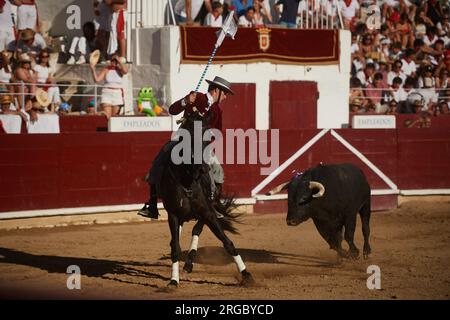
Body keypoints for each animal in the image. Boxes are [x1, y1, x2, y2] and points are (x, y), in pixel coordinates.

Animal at [159, 111, 255, 286]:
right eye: (189, 136)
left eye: (209, 137)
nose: (204, 168)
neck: (187, 180)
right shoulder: (173, 214)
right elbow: (175, 247)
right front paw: (173, 281)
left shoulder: (207, 212)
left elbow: (227, 243)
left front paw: (246, 274)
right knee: (177, 240)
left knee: (197, 230)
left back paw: (189, 264)